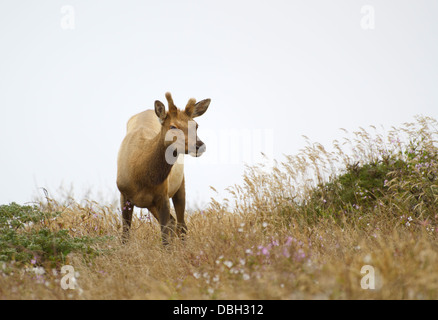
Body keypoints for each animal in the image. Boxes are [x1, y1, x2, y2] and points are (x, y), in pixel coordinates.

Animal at [116, 92, 210, 245]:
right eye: (173, 126)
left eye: (196, 125)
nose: (199, 145)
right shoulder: (124, 194)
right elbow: (125, 234)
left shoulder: (163, 196)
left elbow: (165, 237)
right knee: (174, 222)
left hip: (179, 185)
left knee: (181, 224)